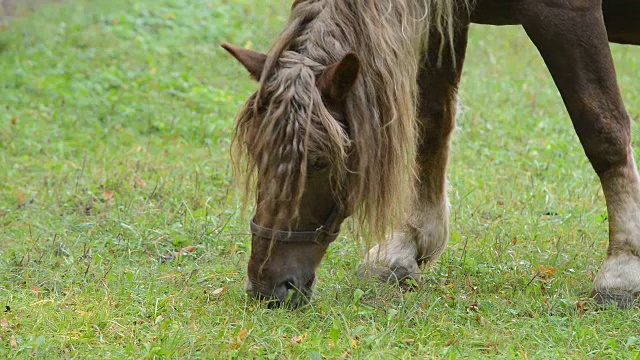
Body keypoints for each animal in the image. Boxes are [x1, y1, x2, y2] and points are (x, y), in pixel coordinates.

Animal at [224, 0, 640, 310]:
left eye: (320, 162)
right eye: (257, 153)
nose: (266, 286)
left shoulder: (567, 11)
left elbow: (602, 129)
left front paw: (623, 269)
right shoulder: (445, 18)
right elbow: (431, 121)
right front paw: (403, 247)